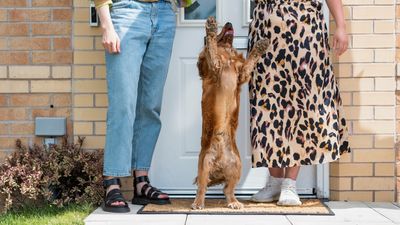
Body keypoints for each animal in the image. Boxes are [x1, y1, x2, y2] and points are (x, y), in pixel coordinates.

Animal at [191, 16, 268, 210]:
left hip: (236, 167)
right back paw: (198, 203)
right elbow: (210, 47)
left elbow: (250, 60)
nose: (229, 23)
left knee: (228, 189)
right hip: (204, 164)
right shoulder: (214, 66)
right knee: (202, 187)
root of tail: (219, 163)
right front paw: (210, 28)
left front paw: (261, 45)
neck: (226, 53)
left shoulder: (242, 74)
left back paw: (234, 203)